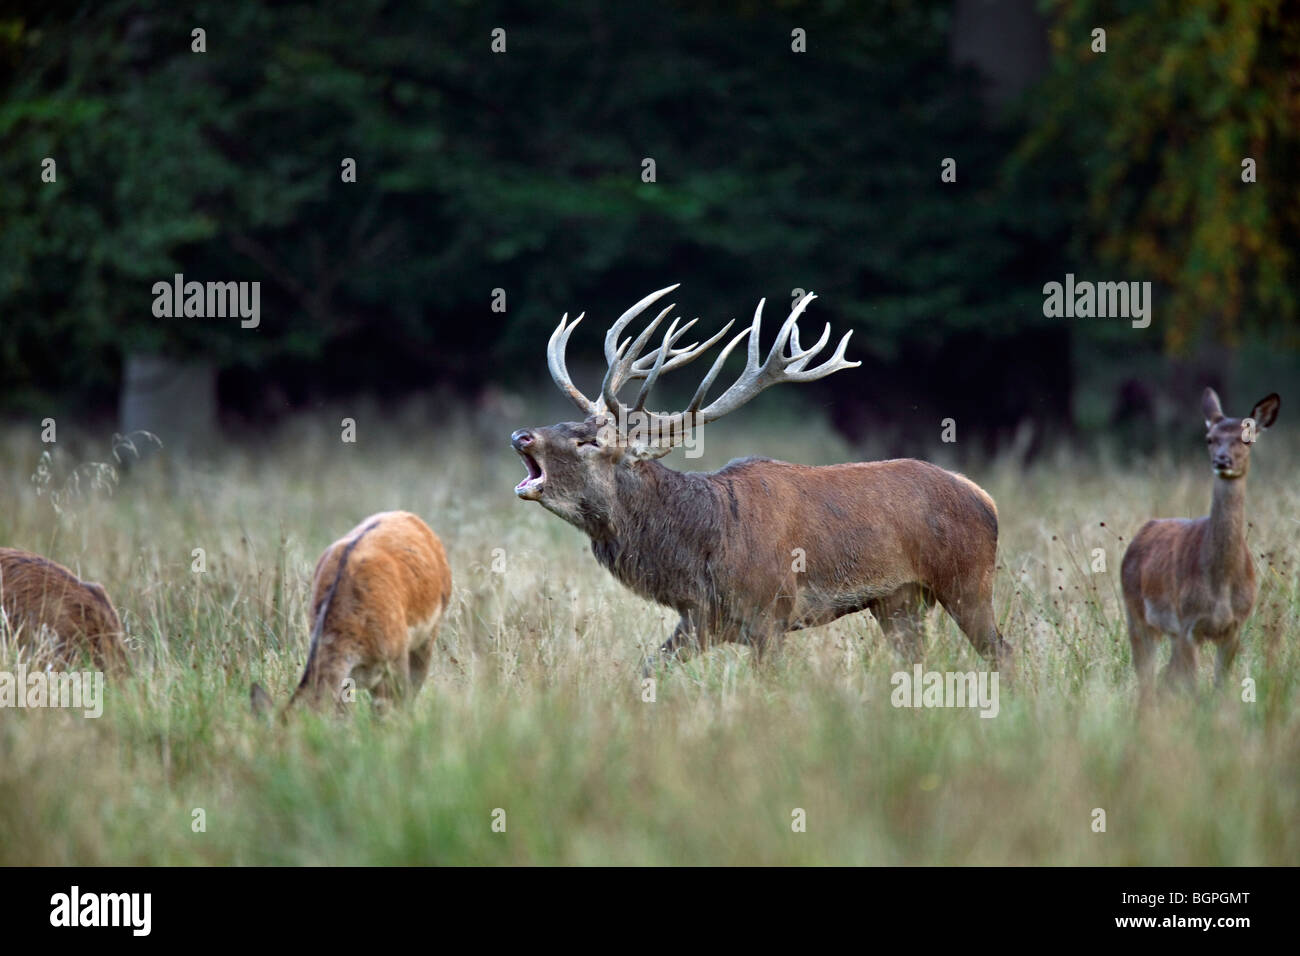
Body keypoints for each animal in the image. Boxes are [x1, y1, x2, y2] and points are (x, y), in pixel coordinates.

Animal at [511, 284, 1011, 673]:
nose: (521, 435)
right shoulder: (701, 620)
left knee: (1002, 653)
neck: (700, 546)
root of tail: (984, 497)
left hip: (968, 579)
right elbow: (646, 670)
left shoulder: (770, 614)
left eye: (590, 443)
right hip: (899, 600)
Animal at [1121, 388, 1280, 704]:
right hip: (1137, 614)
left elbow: (1220, 686)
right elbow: (1192, 687)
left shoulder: (1234, 626)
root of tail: (1145, 529)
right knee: (1148, 678)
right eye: (1209, 438)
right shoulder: (1187, 624)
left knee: (1163, 677)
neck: (1220, 582)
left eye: (1247, 438)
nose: (1222, 460)